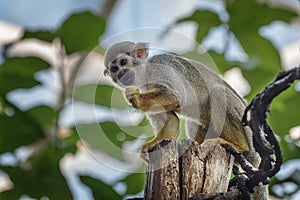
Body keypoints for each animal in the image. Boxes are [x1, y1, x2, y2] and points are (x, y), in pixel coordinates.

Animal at [103, 41, 268, 199]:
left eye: (123, 62)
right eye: (114, 69)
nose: (121, 72)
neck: (145, 73)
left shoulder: (160, 65)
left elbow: (174, 95)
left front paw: (136, 98)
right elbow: (170, 120)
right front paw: (154, 143)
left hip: (248, 132)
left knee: (217, 91)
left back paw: (238, 145)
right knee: (193, 124)